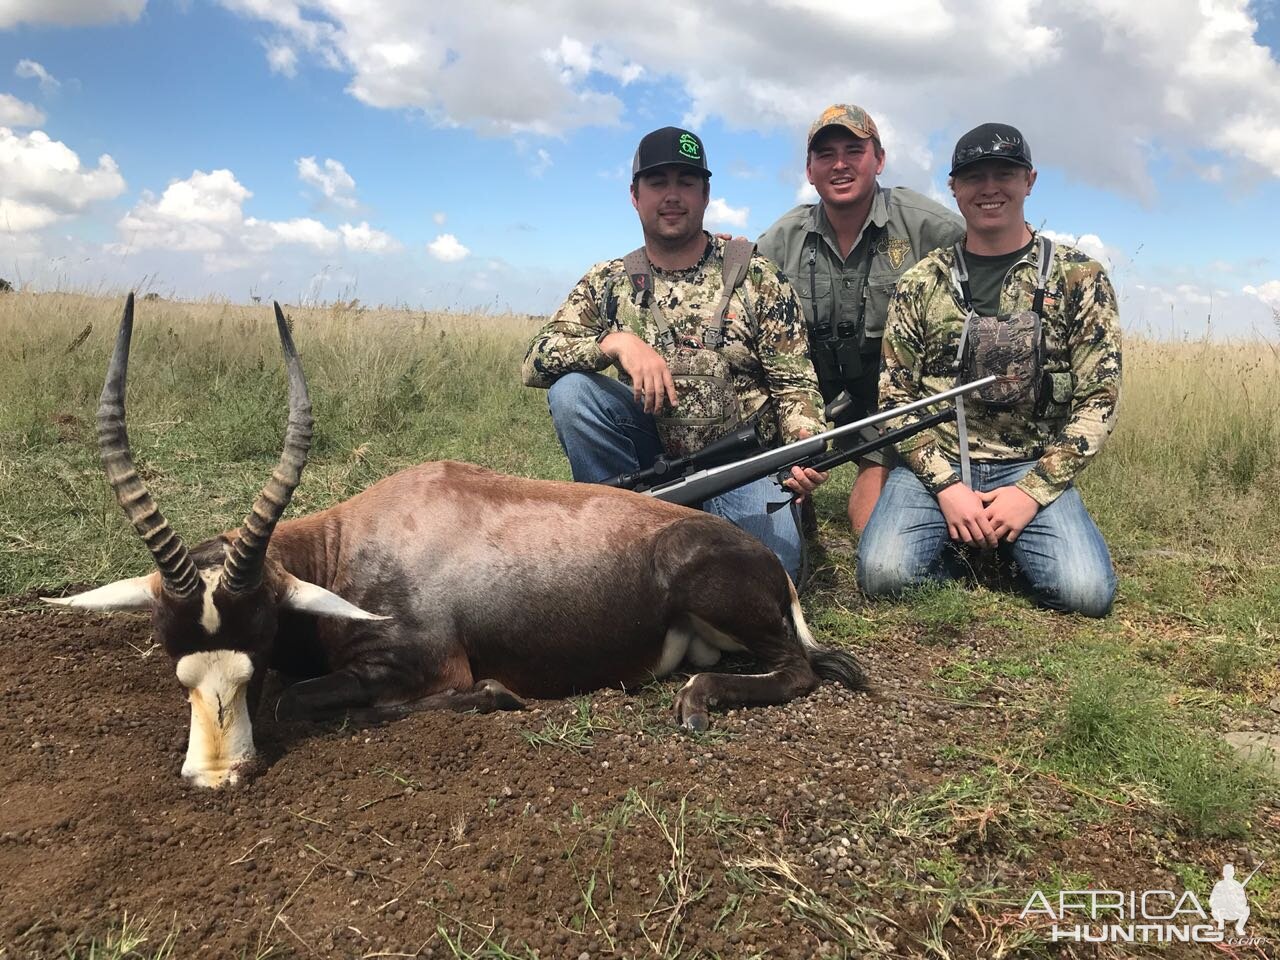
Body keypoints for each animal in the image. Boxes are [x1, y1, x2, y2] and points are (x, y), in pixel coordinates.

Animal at [49, 295, 870, 788]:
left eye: (255, 637)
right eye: (174, 651)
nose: (220, 775)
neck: (355, 544)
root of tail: (766, 566)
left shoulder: (420, 666)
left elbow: (310, 699)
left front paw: (496, 695)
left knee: (800, 671)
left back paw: (696, 703)